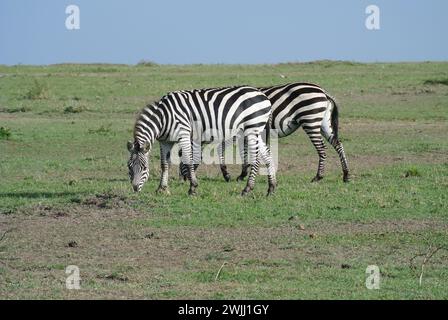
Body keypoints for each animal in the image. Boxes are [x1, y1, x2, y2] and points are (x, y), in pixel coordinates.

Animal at [126, 85, 276, 195]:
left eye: (144, 168)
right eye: (129, 167)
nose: (135, 189)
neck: (164, 117)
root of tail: (264, 96)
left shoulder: (184, 134)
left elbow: (188, 159)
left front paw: (192, 187)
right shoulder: (165, 141)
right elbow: (165, 164)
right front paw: (161, 188)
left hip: (252, 128)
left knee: (256, 159)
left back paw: (247, 189)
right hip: (257, 130)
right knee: (268, 155)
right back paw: (271, 188)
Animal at [178, 82, 350, 182]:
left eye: (180, 156)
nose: (182, 179)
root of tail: (323, 92)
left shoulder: (232, 131)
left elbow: (223, 150)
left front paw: (230, 174)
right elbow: (244, 153)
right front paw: (242, 173)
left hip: (311, 120)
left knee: (322, 149)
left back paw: (318, 177)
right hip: (323, 123)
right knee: (338, 144)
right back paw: (346, 175)